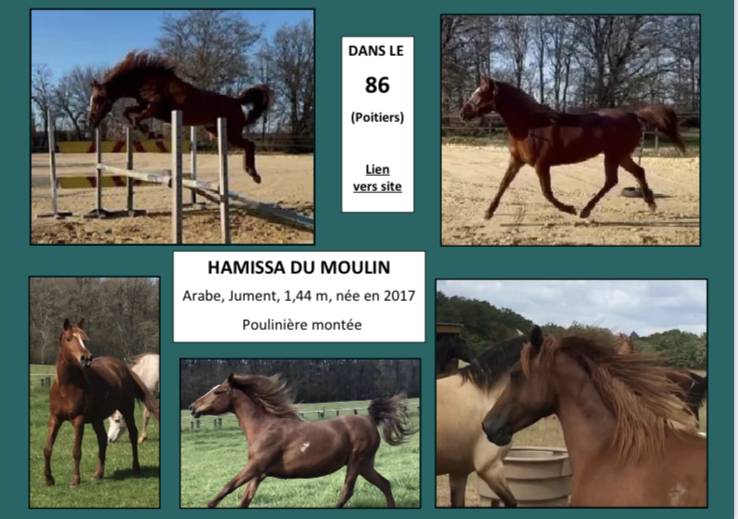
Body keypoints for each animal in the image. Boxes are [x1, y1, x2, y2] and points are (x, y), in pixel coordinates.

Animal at [43, 319, 160, 486]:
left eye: (84, 340)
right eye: (68, 339)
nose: (86, 358)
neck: (66, 387)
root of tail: (123, 368)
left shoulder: (78, 420)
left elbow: (76, 451)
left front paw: (75, 480)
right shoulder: (55, 419)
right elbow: (47, 448)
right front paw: (48, 479)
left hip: (126, 409)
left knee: (132, 434)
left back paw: (136, 467)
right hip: (97, 419)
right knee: (103, 439)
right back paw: (98, 474)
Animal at [88, 51, 271, 183]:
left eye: (98, 99)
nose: (92, 121)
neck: (145, 81)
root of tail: (236, 101)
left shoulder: (154, 108)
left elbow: (136, 117)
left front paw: (151, 133)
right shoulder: (144, 106)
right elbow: (127, 112)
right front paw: (148, 131)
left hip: (232, 132)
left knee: (250, 145)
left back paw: (254, 175)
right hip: (217, 130)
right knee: (246, 145)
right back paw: (249, 172)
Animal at [188, 373, 415, 508]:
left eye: (218, 391)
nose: (192, 407)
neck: (263, 428)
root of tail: (370, 419)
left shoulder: (254, 467)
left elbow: (226, 488)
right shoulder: (259, 473)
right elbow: (245, 499)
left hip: (356, 461)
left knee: (347, 492)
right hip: (365, 464)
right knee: (384, 484)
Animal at [460, 77, 686, 219]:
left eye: (481, 93)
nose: (463, 113)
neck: (531, 125)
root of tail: (633, 115)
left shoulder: (542, 165)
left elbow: (547, 193)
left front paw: (569, 209)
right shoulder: (516, 161)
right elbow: (503, 184)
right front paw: (488, 213)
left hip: (613, 155)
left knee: (612, 180)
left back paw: (585, 211)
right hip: (621, 155)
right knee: (638, 172)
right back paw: (650, 203)